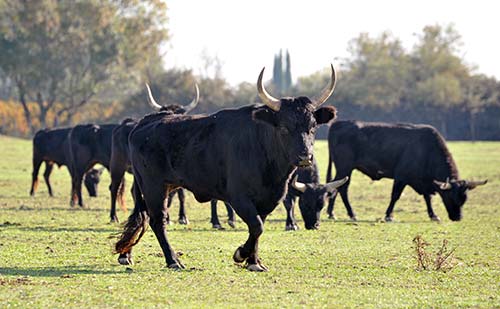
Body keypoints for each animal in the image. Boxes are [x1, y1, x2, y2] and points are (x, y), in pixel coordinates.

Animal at [115, 64, 338, 270]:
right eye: (284, 128)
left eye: (313, 127)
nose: (305, 156)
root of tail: (144, 122)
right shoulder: (239, 198)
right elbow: (256, 226)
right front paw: (241, 254)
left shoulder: (268, 200)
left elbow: (258, 227)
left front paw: (254, 261)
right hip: (153, 187)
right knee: (157, 220)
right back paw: (173, 260)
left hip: (160, 187)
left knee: (142, 215)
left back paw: (126, 255)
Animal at [326, 119, 486, 220]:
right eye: (450, 197)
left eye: (464, 199)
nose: (457, 217)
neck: (427, 149)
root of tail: (337, 124)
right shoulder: (401, 177)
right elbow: (395, 196)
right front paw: (389, 215)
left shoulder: (423, 181)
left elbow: (428, 197)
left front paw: (433, 215)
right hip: (345, 167)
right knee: (341, 188)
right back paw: (350, 213)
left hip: (344, 169)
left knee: (337, 187)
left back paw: (332, 213)